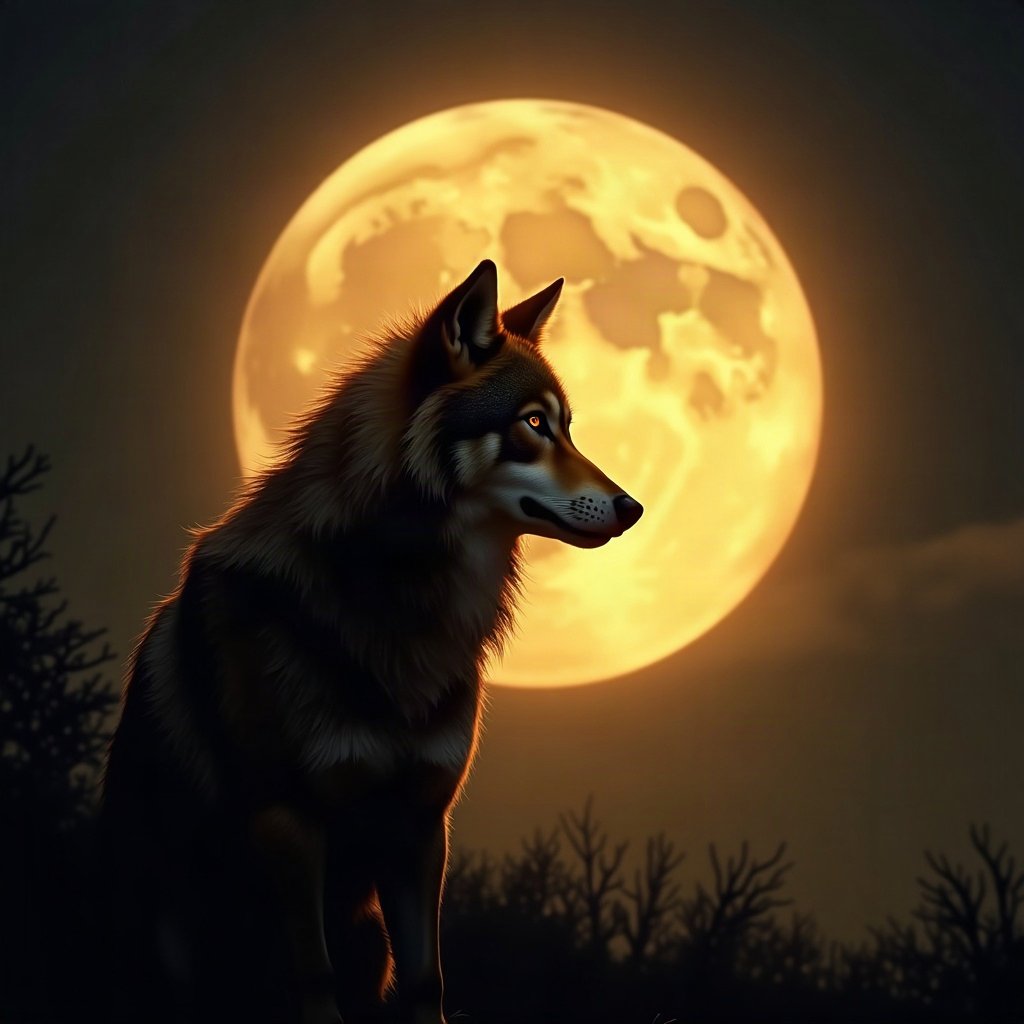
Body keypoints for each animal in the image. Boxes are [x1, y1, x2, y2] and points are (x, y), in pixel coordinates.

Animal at [100, 260, 643, 1024]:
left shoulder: (419, 822)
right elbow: (313, 979)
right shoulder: (289, 821)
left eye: (567, 427)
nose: (635, 507)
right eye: (534, 424)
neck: (401, 603)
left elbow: (427, 982)